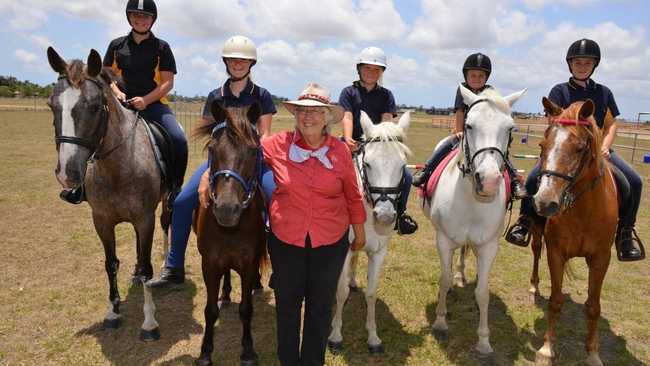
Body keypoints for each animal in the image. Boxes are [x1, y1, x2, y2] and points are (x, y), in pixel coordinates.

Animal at [46, 47, 168, 342]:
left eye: (93, 107)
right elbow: (111, 263)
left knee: (165, 230)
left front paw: (149, 323)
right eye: (52, 106)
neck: (118, 169)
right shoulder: (101, 220)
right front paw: (113, 312)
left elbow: (146, 266)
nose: (67, 173)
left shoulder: (145, 219)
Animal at [192, 101, 266, 366]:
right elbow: (210, 310)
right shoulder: (210, 264)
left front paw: (248, 351)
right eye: (213, 149)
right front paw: (205, 352)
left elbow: (246, 309)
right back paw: (224, 294)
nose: (226, 209)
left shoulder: (248, 263)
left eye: (254, 151)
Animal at [326, 111, 412, 352]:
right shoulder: (344, 249)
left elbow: (372, 293)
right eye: (368, 164)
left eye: (402, 165)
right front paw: (336, 336)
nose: (384, 216)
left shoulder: (379, 251)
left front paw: (373, 337)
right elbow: (340, 291)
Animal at [422, 85, 524, 354]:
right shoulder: (443, 240)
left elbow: (483, 292)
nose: (488, 181)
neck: (472, 201)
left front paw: (484, 341)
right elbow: (444, 279)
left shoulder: (488, 246)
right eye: (468, 125)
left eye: (510, 129)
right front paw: (440, 321)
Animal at [528, 97, 616, 366]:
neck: (583, 210)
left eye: (579, 148)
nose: (545, 203)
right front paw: (547, 349)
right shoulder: (555, 252)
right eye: (542, 144)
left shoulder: (601, 258)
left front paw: (593, 353)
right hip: (537, 233)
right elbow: (555, 301)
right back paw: (534, 287)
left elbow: (593, 306)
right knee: (535, 250)